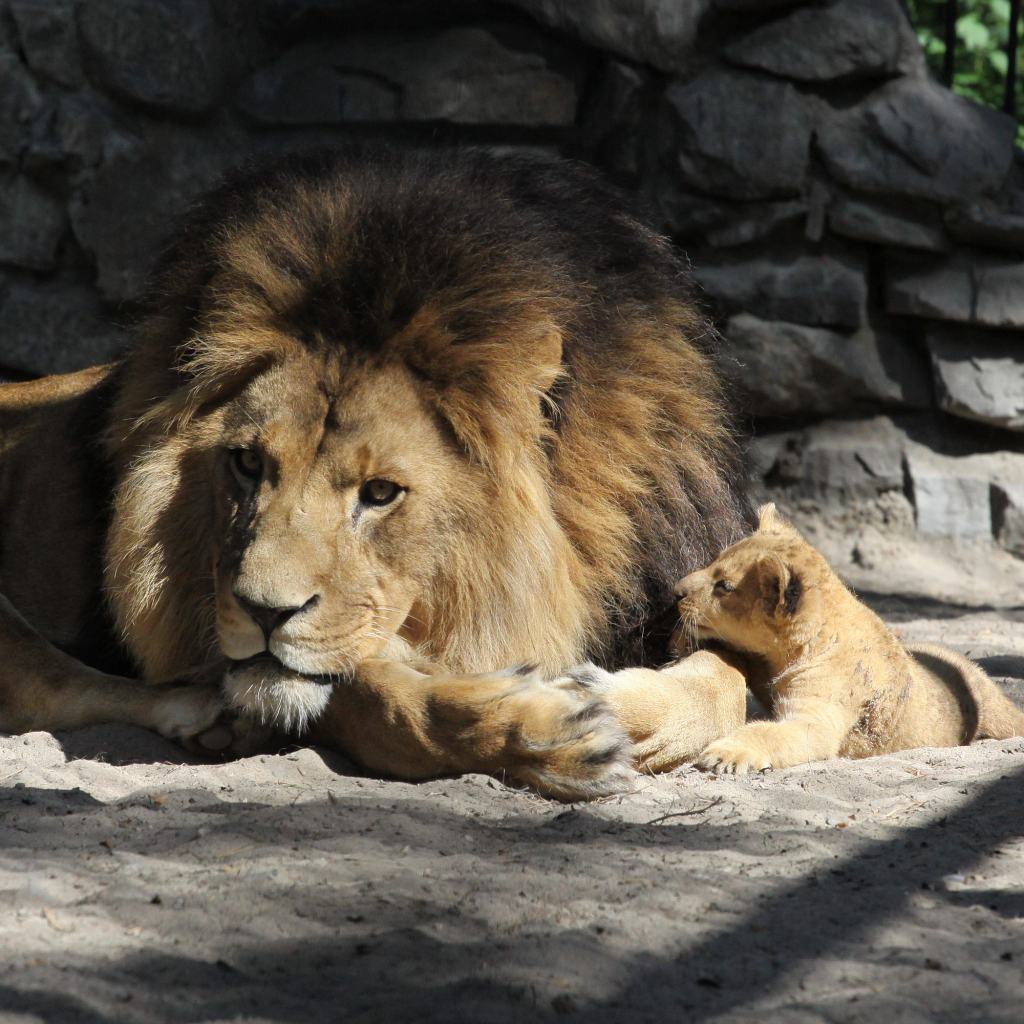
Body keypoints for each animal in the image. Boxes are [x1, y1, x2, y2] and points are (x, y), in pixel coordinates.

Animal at [0, 146, 749, 798]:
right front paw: (539, 729)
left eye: (381, 493)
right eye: (248, 463)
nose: (263, 612)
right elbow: (380, 701)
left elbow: (726, 679)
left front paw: (613, 697)